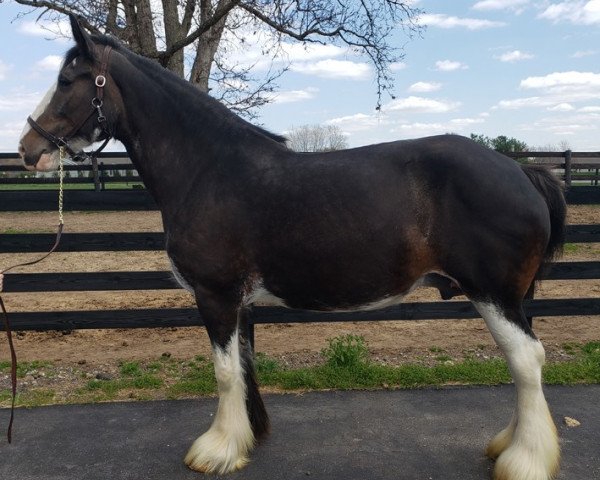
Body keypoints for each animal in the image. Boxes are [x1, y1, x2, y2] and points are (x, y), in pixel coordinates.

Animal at [16, 15, 564, 480]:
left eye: (68, 80)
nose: (27, 149)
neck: (208, 170)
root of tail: (521, 171)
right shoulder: (238, 301)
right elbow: (242, 366)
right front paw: (245, 439)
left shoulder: (215, 295)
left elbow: (223, 372)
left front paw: (216, 450)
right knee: (523, 362)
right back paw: (508, 445)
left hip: (494, 294)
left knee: (526, 360)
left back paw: (525, 461)